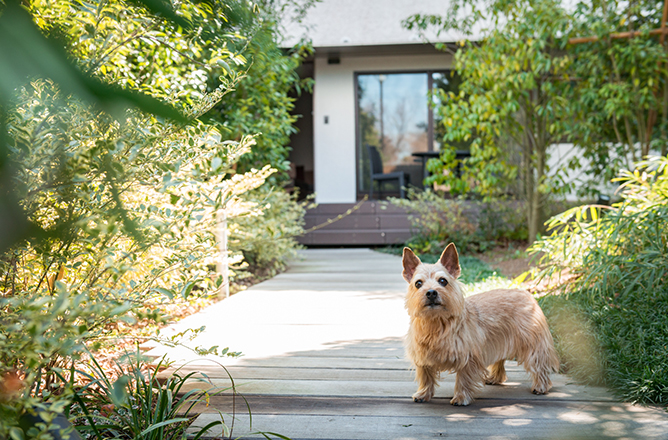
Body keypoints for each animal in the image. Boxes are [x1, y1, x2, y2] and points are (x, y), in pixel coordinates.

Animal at [402, 244, 560, 406]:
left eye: (443, 281)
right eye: (418, 283)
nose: (431, 292)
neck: (436, 323)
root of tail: (526, 293)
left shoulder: (468, 358)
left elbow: (463, 379)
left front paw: (461, 397)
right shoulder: (422, 357)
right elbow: (426, 377)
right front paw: (423, 394)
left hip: (533, 344)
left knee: (539, 363)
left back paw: (541, 386)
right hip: (500, 341)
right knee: (500, 360)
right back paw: (495, 378)